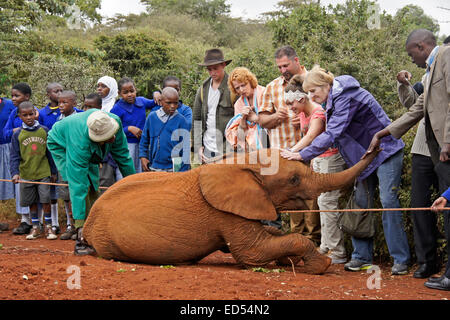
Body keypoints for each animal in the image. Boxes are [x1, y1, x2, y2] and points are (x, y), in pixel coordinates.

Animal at [82, 149, 378, 274]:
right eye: (294, 179)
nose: (378, 141)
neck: (244, 161)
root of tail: (87, 224)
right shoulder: (225, 213)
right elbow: (252, 253)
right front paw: (322, 265)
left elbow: (269, 234)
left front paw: (289, 261)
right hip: (108, 242)